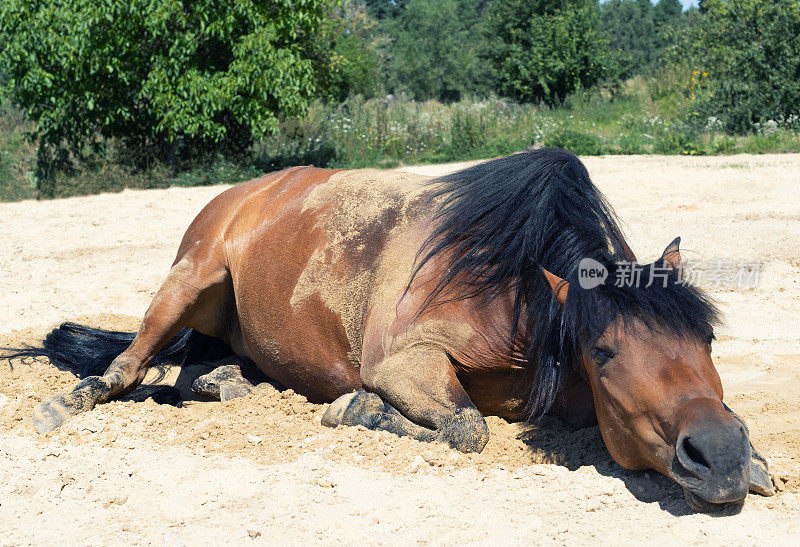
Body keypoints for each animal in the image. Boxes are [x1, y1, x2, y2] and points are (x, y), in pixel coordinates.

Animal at [3, 148, 772, 512]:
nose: (718, 454)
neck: (516, 290)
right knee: (127, 366)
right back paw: (65, 405)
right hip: (191, 276)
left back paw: (228, 382)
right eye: (605, 352)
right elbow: (467, 428)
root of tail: (240, 194)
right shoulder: (403, 361)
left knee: (197, 369)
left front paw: (758, 461)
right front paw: (355, 408)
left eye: (707, 341)